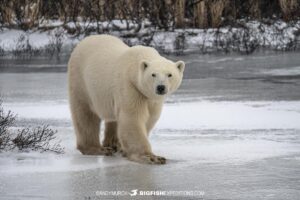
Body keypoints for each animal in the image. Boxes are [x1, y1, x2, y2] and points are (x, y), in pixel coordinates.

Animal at [68, 34, 184, 164]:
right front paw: (152, 157)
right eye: (153, 74)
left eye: (170, 74)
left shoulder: (150, 99)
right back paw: (97, 148)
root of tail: (85, 40)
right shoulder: (129, 86)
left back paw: (114, 145)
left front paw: (125, 150)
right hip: (81, 81)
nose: (160, 87)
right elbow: (132, 118)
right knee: (85, 115)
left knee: (113, 119)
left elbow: (150, 118)